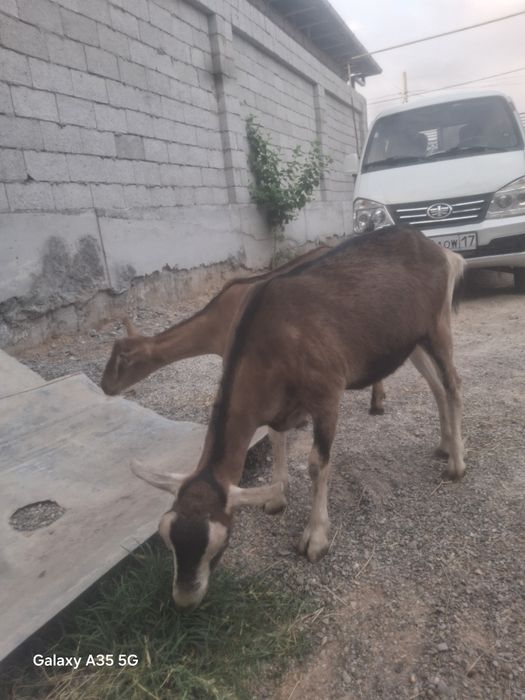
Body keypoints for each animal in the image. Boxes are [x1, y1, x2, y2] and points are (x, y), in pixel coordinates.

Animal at [132, 226, 466, 608]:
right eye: (169, 540)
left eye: (219, 543)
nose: (185, 600)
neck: (271, 337)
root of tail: (442, 252)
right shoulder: (280, 404)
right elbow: (277, 438)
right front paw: (277, 498)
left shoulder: (327, 394)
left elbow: (318, 464)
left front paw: (315, 538)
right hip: (411, 340)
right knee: (436, 387)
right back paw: (444, 445)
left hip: (438, 326)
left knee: (453, 385)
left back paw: (456, 464)